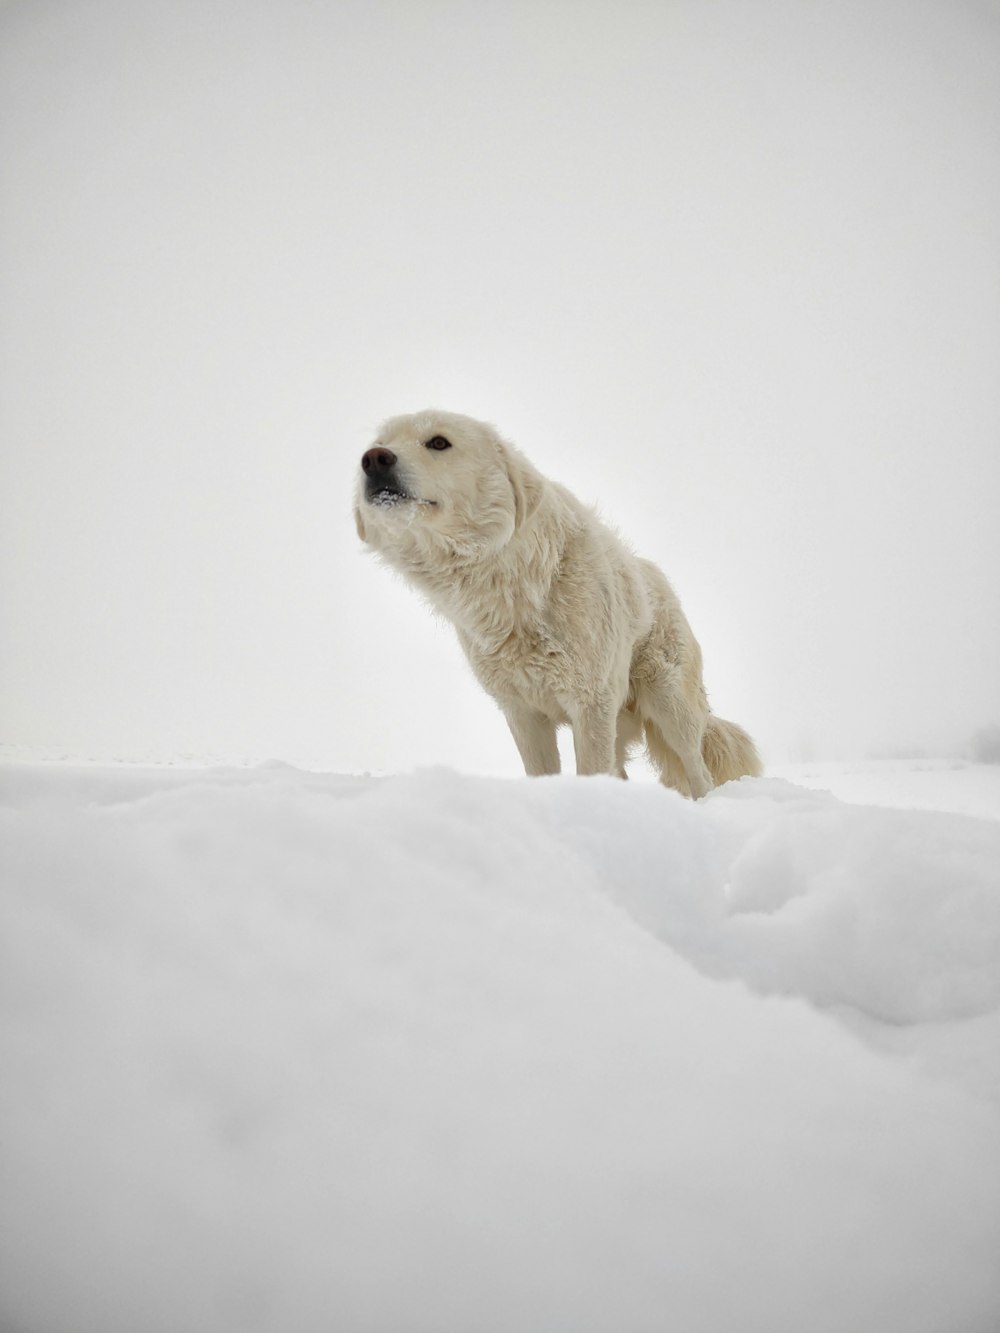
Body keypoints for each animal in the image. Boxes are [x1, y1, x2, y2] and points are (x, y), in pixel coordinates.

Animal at [357, 410, 762, 794]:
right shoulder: (523, 713)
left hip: (669, 704)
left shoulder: (591, 703)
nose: (374, 459)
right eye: (379, 443)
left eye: (438, 442)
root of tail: (660, 580)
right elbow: (543, 772)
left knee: (698, 770)